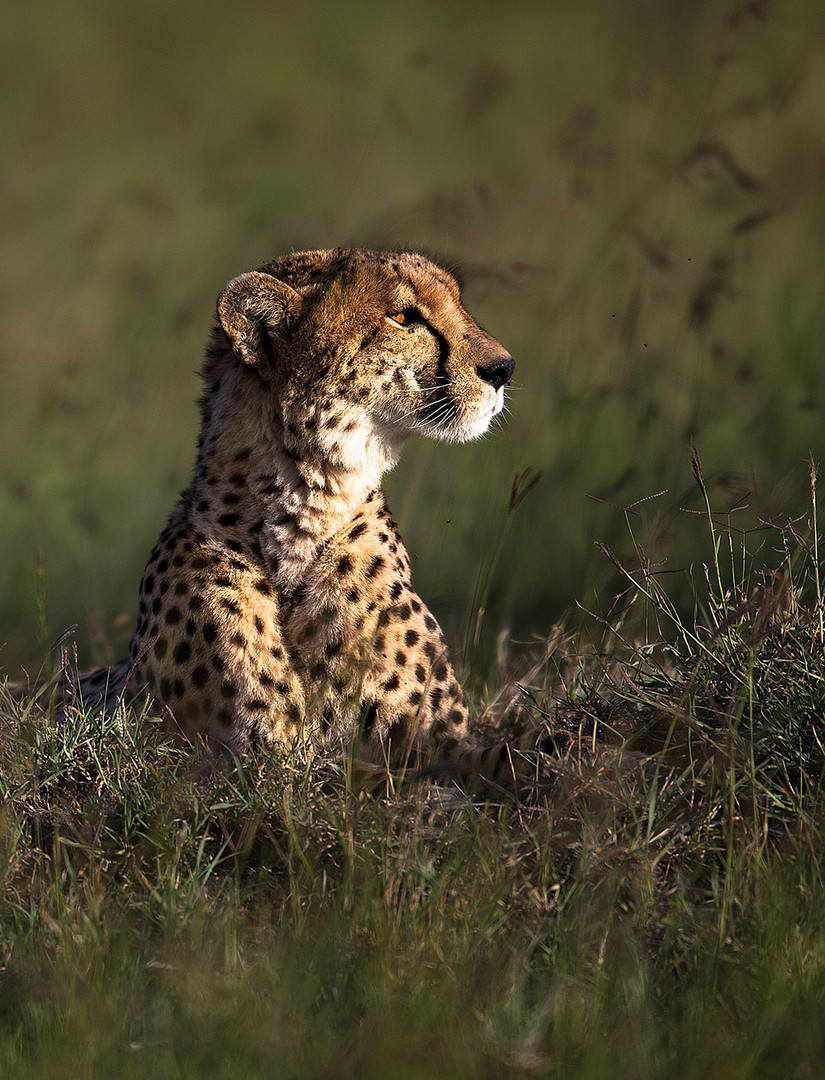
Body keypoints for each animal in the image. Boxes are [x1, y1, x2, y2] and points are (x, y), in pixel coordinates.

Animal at [16, 247, 511, 768]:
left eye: (457, 303)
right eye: (403, 317)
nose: (504, 368)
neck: (302, 515)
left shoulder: (444, 753)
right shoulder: (248, 759)